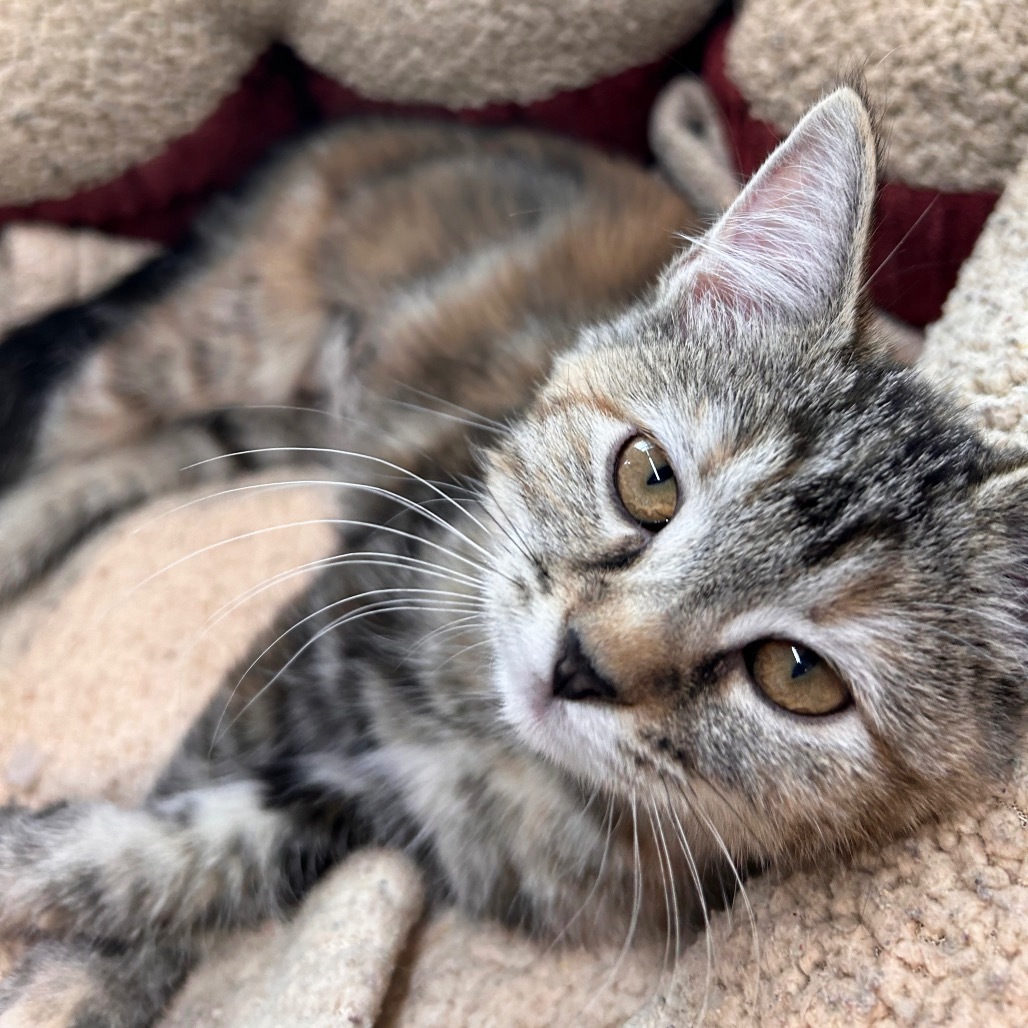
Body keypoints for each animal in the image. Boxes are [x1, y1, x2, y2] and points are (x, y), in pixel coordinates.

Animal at [2, 84, 1028, 1023]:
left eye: (797, 673)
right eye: (648, 478)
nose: (581, 662)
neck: (490, 745)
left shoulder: (382, 811)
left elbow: (195, 860)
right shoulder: (321, 639)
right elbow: (191, 788)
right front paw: (74, 969)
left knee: (157, 452)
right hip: (224, 334)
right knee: (73, 417)